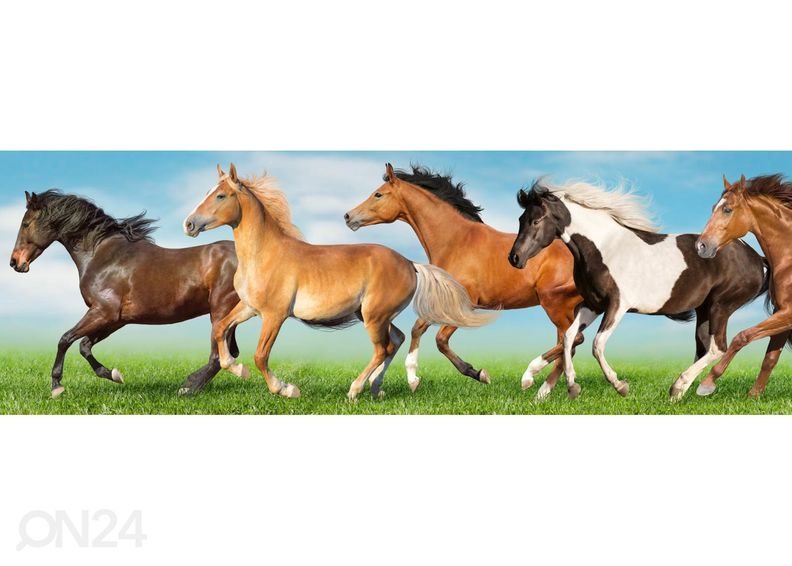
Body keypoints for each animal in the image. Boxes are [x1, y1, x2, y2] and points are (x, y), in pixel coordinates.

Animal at [9, 189, 241, 398]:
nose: (14, 262)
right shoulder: (116, 319)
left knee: (218, 357)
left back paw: (188, 388)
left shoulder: (103, 312)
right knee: (229, 354)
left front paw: (56, 386)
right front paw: (114, 374)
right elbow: (84, 346)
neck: (103, 256)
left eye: (25, 224)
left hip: (220, 310)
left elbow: (65, 339)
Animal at [183, 164, 495, 401]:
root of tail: (410, 264)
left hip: (373, 316)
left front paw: (286, 389)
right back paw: (376, 389)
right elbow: (220, 329)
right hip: (372, 314)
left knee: (382, 348)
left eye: (220, 196)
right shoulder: (248, 307)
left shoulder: (274, 315)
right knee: (396, 340)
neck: (264, 253)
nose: (189, 224)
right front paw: (238, 369)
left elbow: (260, 355)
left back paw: (355, 390)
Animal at [344, 164, 584, 399]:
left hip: (554, 303)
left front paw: (479, 374)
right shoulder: (444, 303)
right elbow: (418, 328)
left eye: (378, 194)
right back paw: (546, 390)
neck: (456, 241)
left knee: (572, 340)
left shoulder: (465, 305)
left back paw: (530, 377)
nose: (348, 216)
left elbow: (440, 340)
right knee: (567, 345)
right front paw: (414, 379)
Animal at [508, 179, 768, 399]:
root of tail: (757, 258)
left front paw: (620, 386)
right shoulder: (592, 304)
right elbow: (570, 337)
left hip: (720, 306)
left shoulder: (617, 305)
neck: (604, 248)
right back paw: (679, 392)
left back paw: (678, 387)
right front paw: (565, 385)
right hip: (704, 310)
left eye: (536, 221)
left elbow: (597, 344)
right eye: (521, 220)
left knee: (717, 348)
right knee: (704, 348)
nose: (514, 258)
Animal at [695, 174, 792, 397]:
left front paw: (707, 383)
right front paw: (753, 396)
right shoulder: (783, 313)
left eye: (727, 209)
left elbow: (742, 336)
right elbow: (769, 359)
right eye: (713, 207)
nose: (701, 246)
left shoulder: (788, 314)